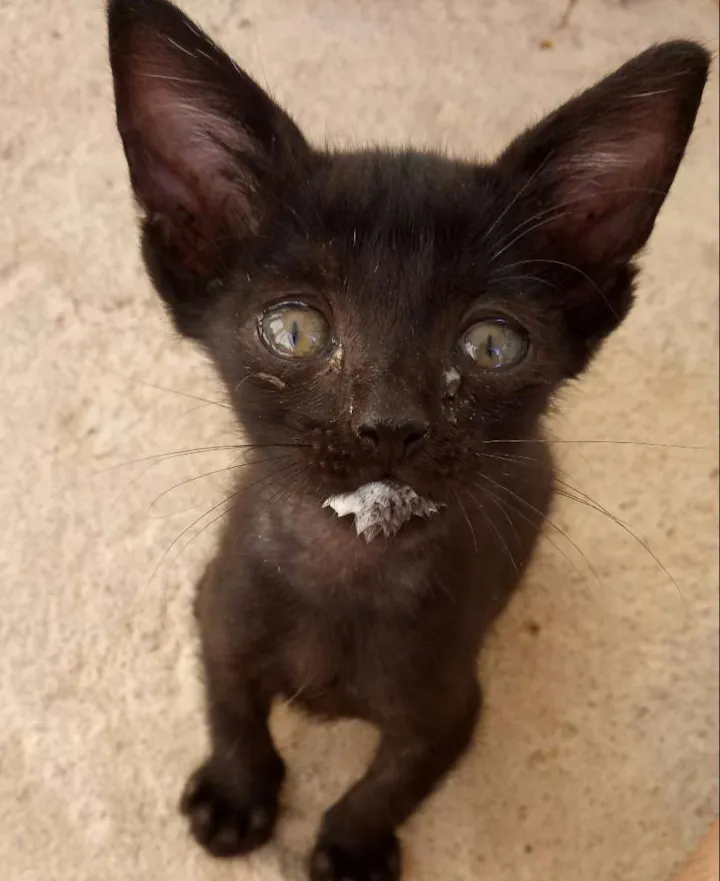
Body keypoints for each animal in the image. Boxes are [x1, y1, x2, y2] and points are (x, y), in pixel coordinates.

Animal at [107, 1, 709, 879]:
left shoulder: (451, 706)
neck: (348, 562)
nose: (389, 421)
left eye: (490, 344)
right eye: (295, 329)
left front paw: (353, 846)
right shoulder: (219, 617)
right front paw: (235, 792)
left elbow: (393, 779)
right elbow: (231, 702)